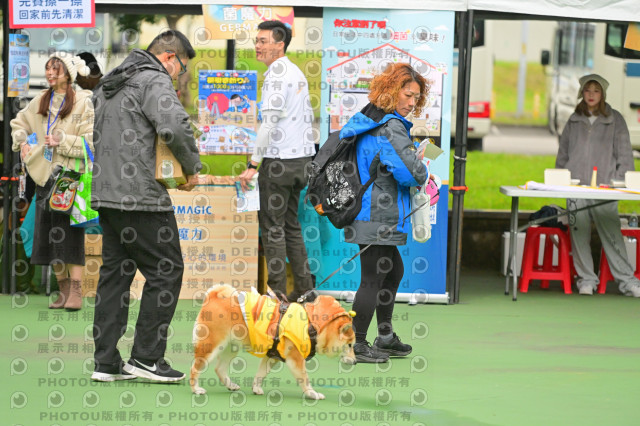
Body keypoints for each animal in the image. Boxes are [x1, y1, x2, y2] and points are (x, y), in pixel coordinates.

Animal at [190, 284, 356, 400]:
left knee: (219, 369)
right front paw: (312, 394)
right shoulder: (296, 359)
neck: (313, 325)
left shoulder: (273, 356)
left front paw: (256, 388)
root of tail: (214, 296)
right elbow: (305, 379)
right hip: (210, 347)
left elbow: (260, 374)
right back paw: (196, 389)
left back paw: (230, 385)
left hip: (231, 348)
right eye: (349, 345)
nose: (355, 361)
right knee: (195, 367)